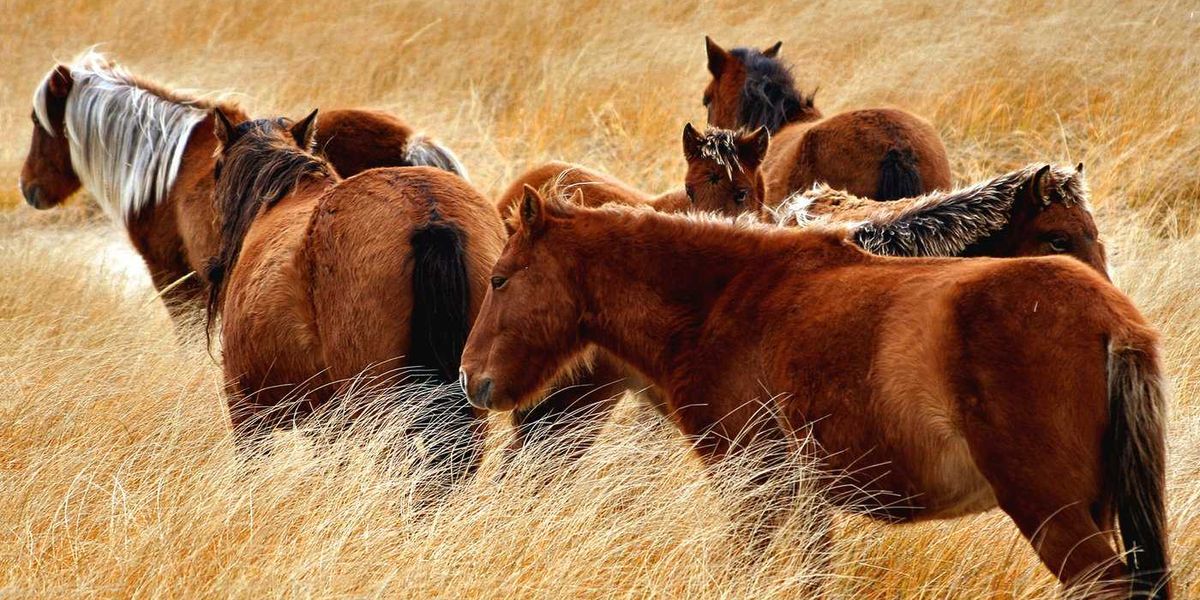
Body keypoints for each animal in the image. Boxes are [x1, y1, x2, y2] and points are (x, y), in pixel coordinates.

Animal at [459, 187, 1170, 599]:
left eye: (500, 279)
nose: (472, 378)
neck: (724, 299)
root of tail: (1113, 321)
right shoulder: (805, 500)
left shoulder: (753, 489)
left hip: (1054, 516)